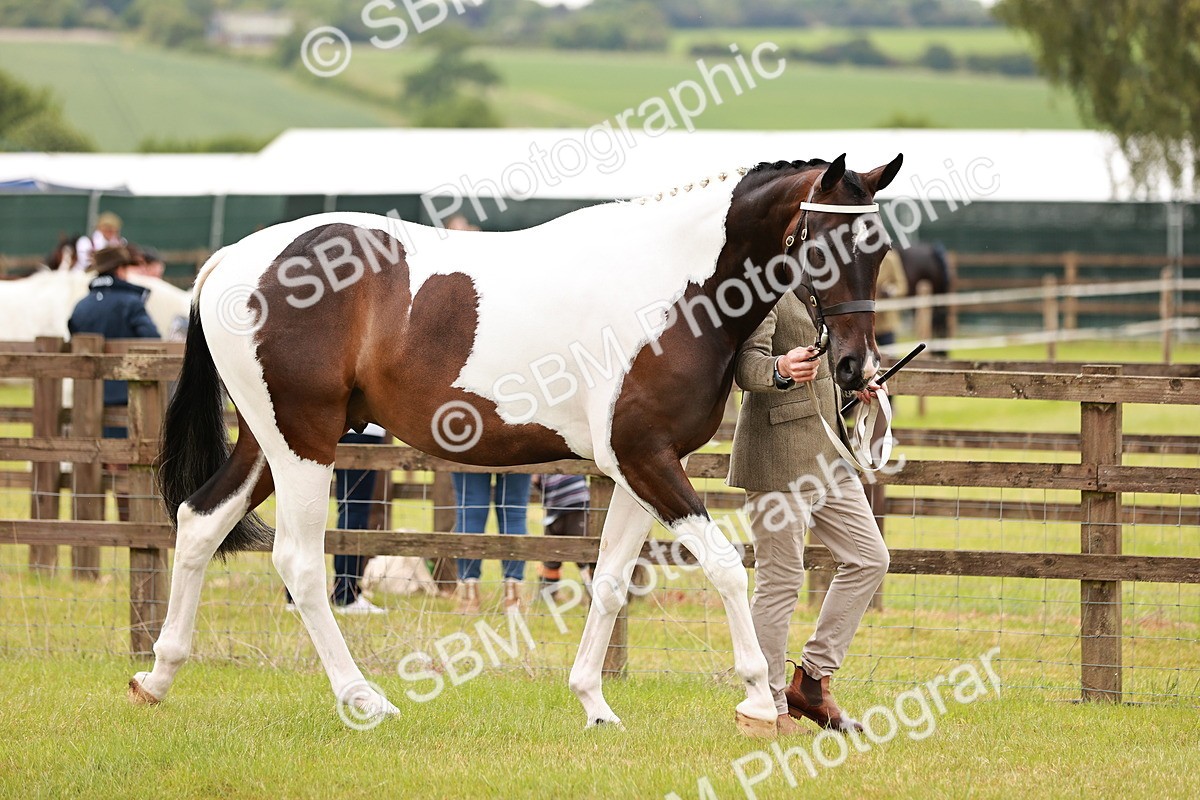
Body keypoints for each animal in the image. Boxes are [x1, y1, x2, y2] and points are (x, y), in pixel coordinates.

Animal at [128, 152, 903, 737]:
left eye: (881, 250)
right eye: (824, 247)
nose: (855, 370)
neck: (672, 288)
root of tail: (231, 260)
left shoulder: (642, 467)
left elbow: (611, 580)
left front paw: (594, 703)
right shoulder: (645, 459)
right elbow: (723, 567)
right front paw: (757, 700)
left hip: (270, 441)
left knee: (199, 522)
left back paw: (157, 676)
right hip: (303, 443)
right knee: (297, 561)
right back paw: (364, 699)